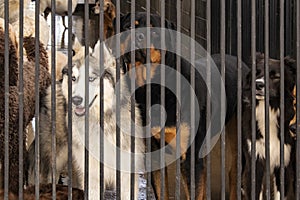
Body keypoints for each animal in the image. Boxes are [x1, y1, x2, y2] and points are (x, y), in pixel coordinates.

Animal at [116, 12, 250, 198]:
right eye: (128, 26)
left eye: (154, 30)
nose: (139, 36)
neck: (154, 89)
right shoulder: (154, 153)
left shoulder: (191, 156)